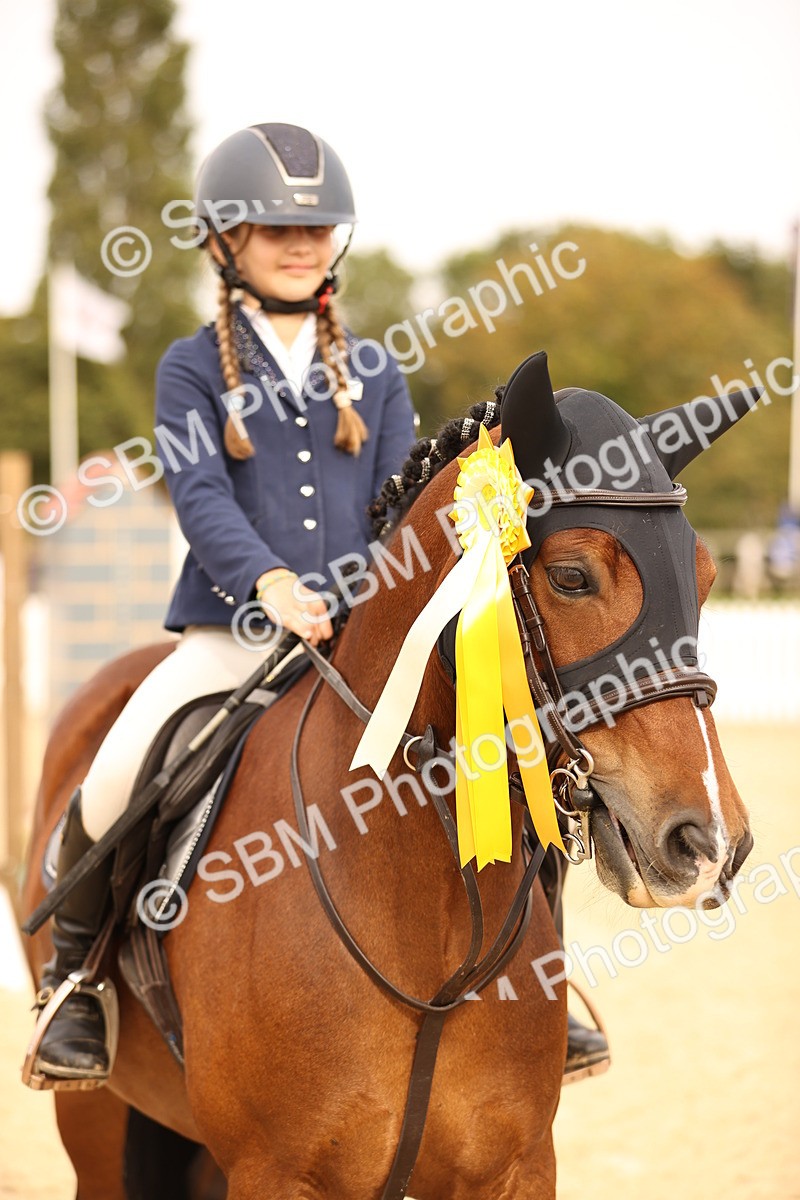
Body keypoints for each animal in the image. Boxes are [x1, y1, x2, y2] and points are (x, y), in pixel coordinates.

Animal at [21, 351, 756, 1199]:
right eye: (573, 577)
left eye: (705, 576)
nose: (710, 840)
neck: (433, 934)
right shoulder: (273, 1172)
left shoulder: (518, 1166)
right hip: (97, 1122)